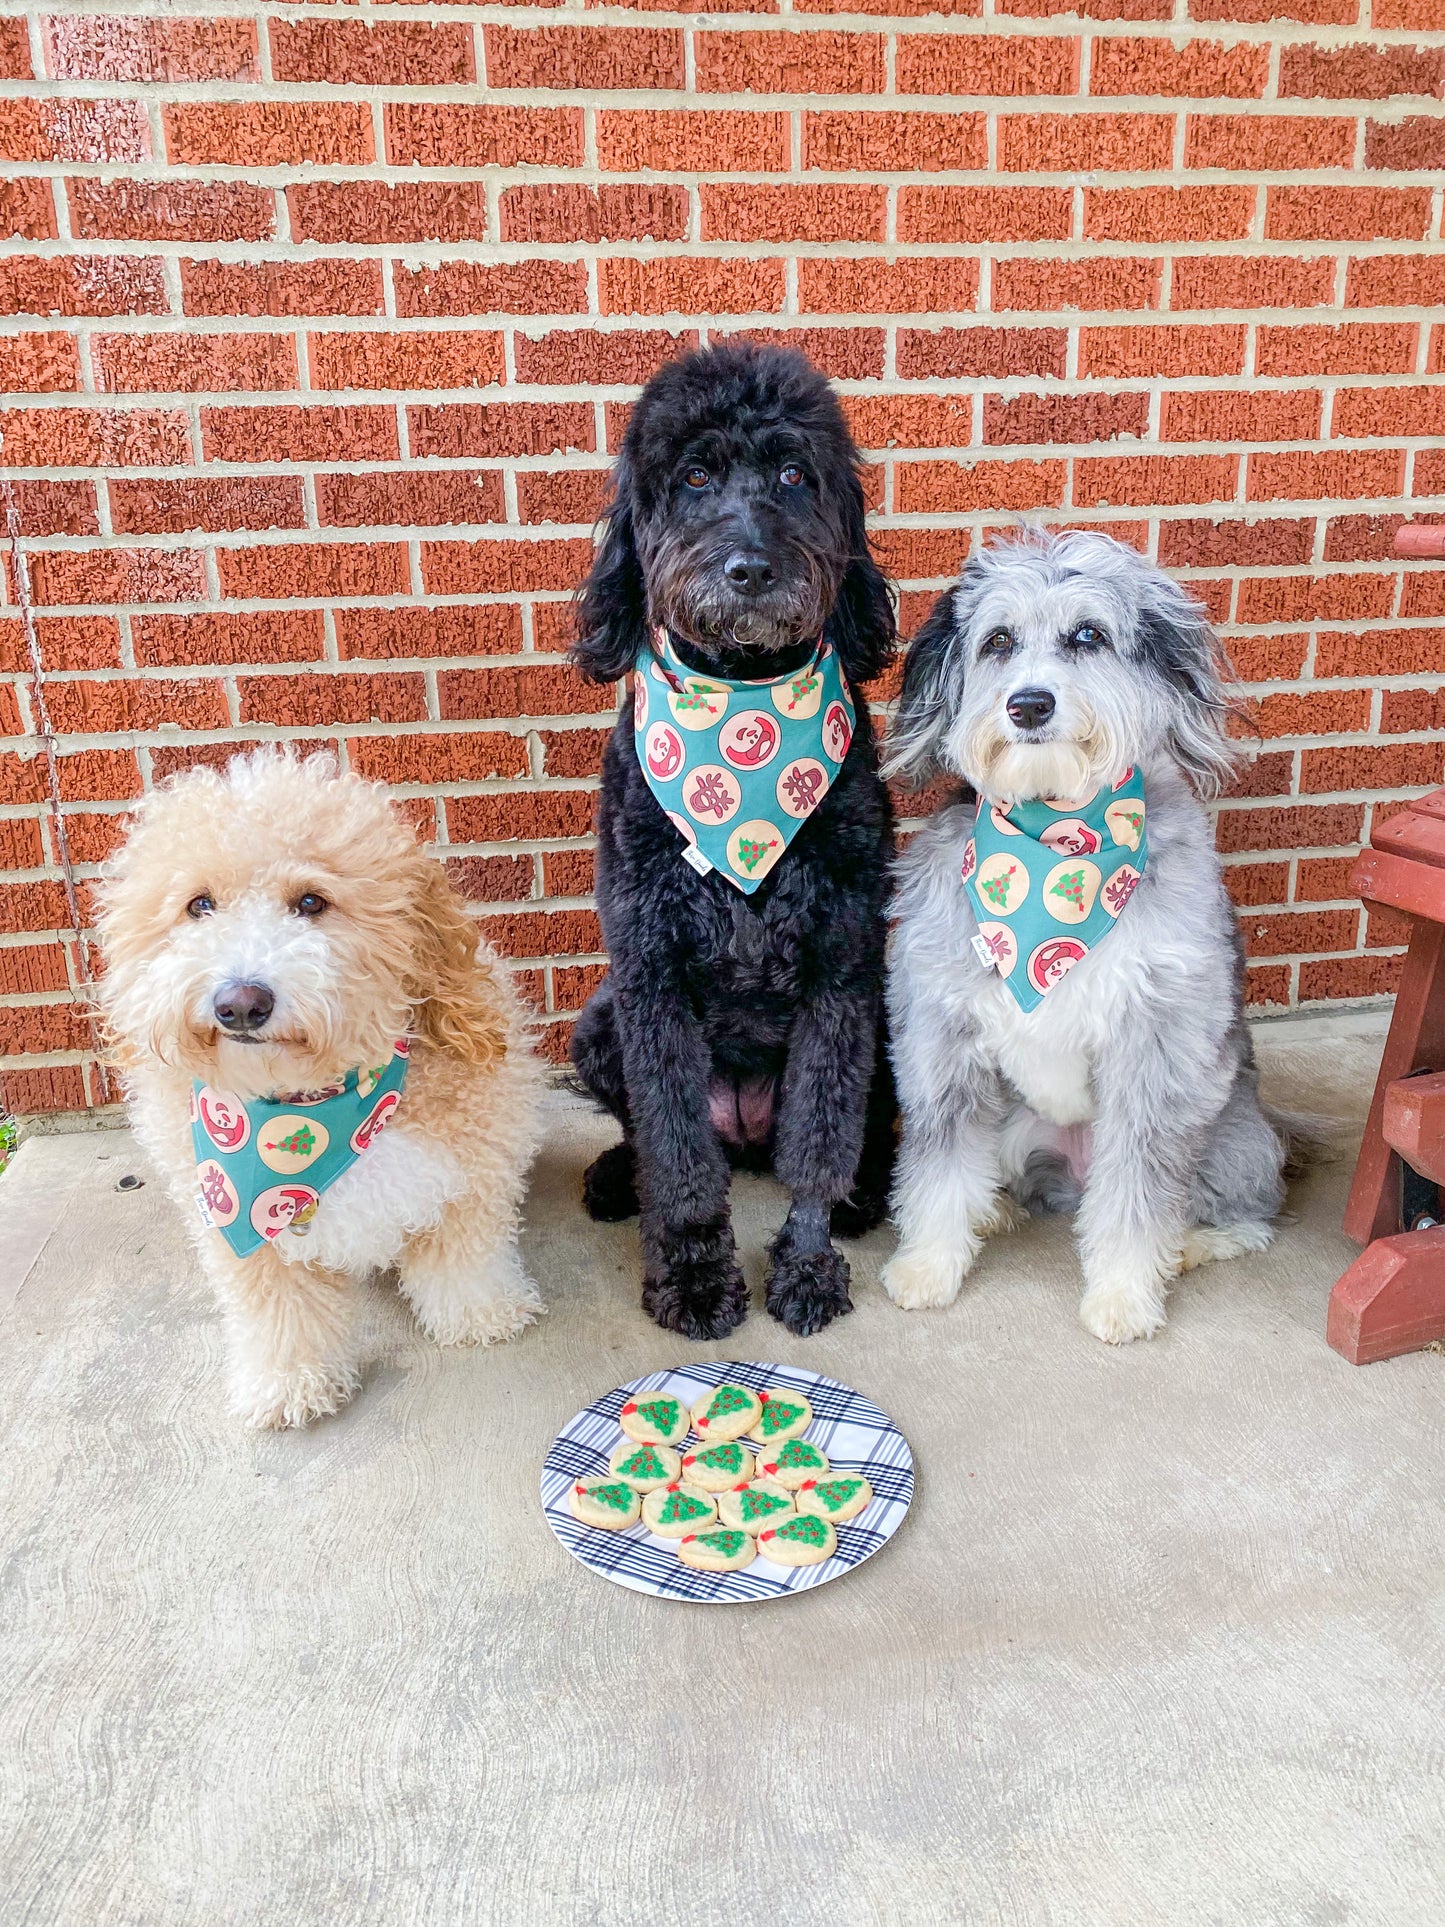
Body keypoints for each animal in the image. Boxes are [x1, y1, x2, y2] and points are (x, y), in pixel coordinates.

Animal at [97, 751, 543, 1433]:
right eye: (199, 905)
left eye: (312, 901)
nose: (241, 1003)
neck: (312, 1111)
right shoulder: (243, 1234)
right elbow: (281, 1310)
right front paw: (289, 1382)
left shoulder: (468, 1175)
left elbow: (463, 1257)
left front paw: (480, 1315)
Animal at [570, 343, 901, 1341]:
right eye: (693, 477)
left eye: (794, 475)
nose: (750, 568)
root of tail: (748, 1131)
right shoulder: (649, 977)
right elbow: (678, 1156)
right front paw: (691, 1278)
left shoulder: (841, 969)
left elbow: (820, 1140)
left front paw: (806, 1265)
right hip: (598, 1021)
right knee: (648, 1135)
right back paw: (616, 1178)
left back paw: (860, 1198)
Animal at [882, 524, 1302, 1341]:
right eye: (999, 640)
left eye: (1088, 636)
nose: (1028, 704)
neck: (1055, 845)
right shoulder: (943, 1037)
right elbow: (940, 1165)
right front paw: (930, 1264)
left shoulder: (1155, 1052)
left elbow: (1139, 1192)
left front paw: (1123, 1293)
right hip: (1015, 1118)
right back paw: (995, 1212)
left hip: (1233, 1137)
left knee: (1242, 1213)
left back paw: (1192, 1246)